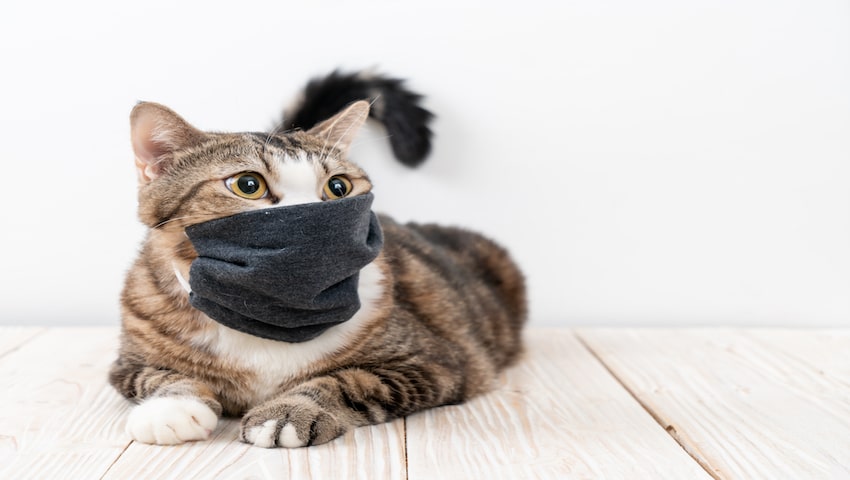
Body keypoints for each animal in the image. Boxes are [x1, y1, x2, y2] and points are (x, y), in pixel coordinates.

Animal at [109, 69, 528, 448]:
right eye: (248, 185)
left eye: (338, 187)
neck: (270, 318)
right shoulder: (130, 354)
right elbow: (159, 375)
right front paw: (170, 408)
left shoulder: (435, 361)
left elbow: (348, 380)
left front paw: (290, 410)